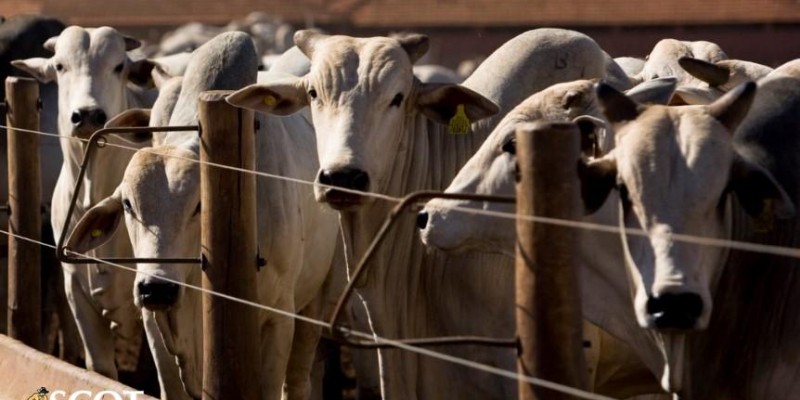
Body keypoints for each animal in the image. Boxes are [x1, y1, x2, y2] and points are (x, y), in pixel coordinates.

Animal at [64, 32, 336, 400]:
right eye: (128, 205)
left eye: (199, 206)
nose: (156, 289)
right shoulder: (155, 326)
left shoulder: (278, 319)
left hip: (317, 299)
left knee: (297, 380)